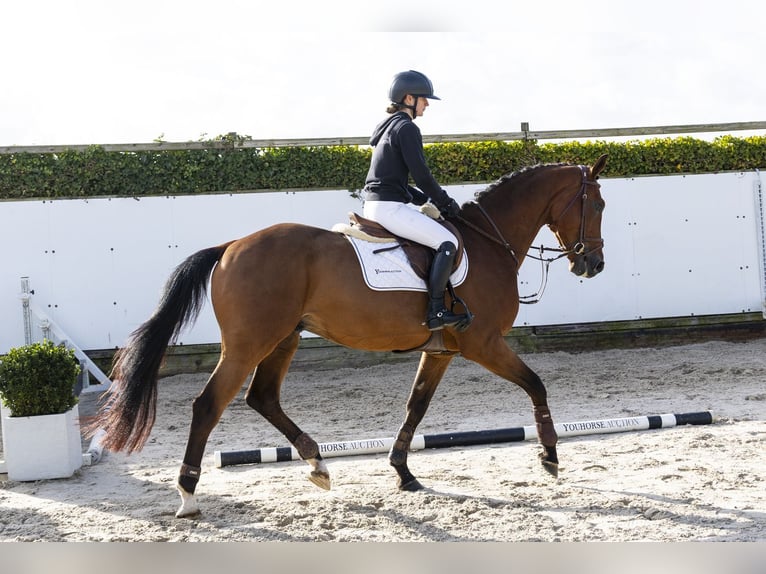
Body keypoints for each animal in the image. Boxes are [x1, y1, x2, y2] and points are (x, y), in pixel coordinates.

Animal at [92, 154, 608, 518]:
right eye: (598, 204)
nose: (593, 264)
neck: (486, 242)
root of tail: (230, 246)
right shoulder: (484, 345)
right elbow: (536, 384)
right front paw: (550, 455)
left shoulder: (442, 351)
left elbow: (416, 406)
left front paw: (403, 473)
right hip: (248, 344)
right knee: (208, 405)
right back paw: (188, 495)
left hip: (284, 338)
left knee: (262, 397)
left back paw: (317, 465)